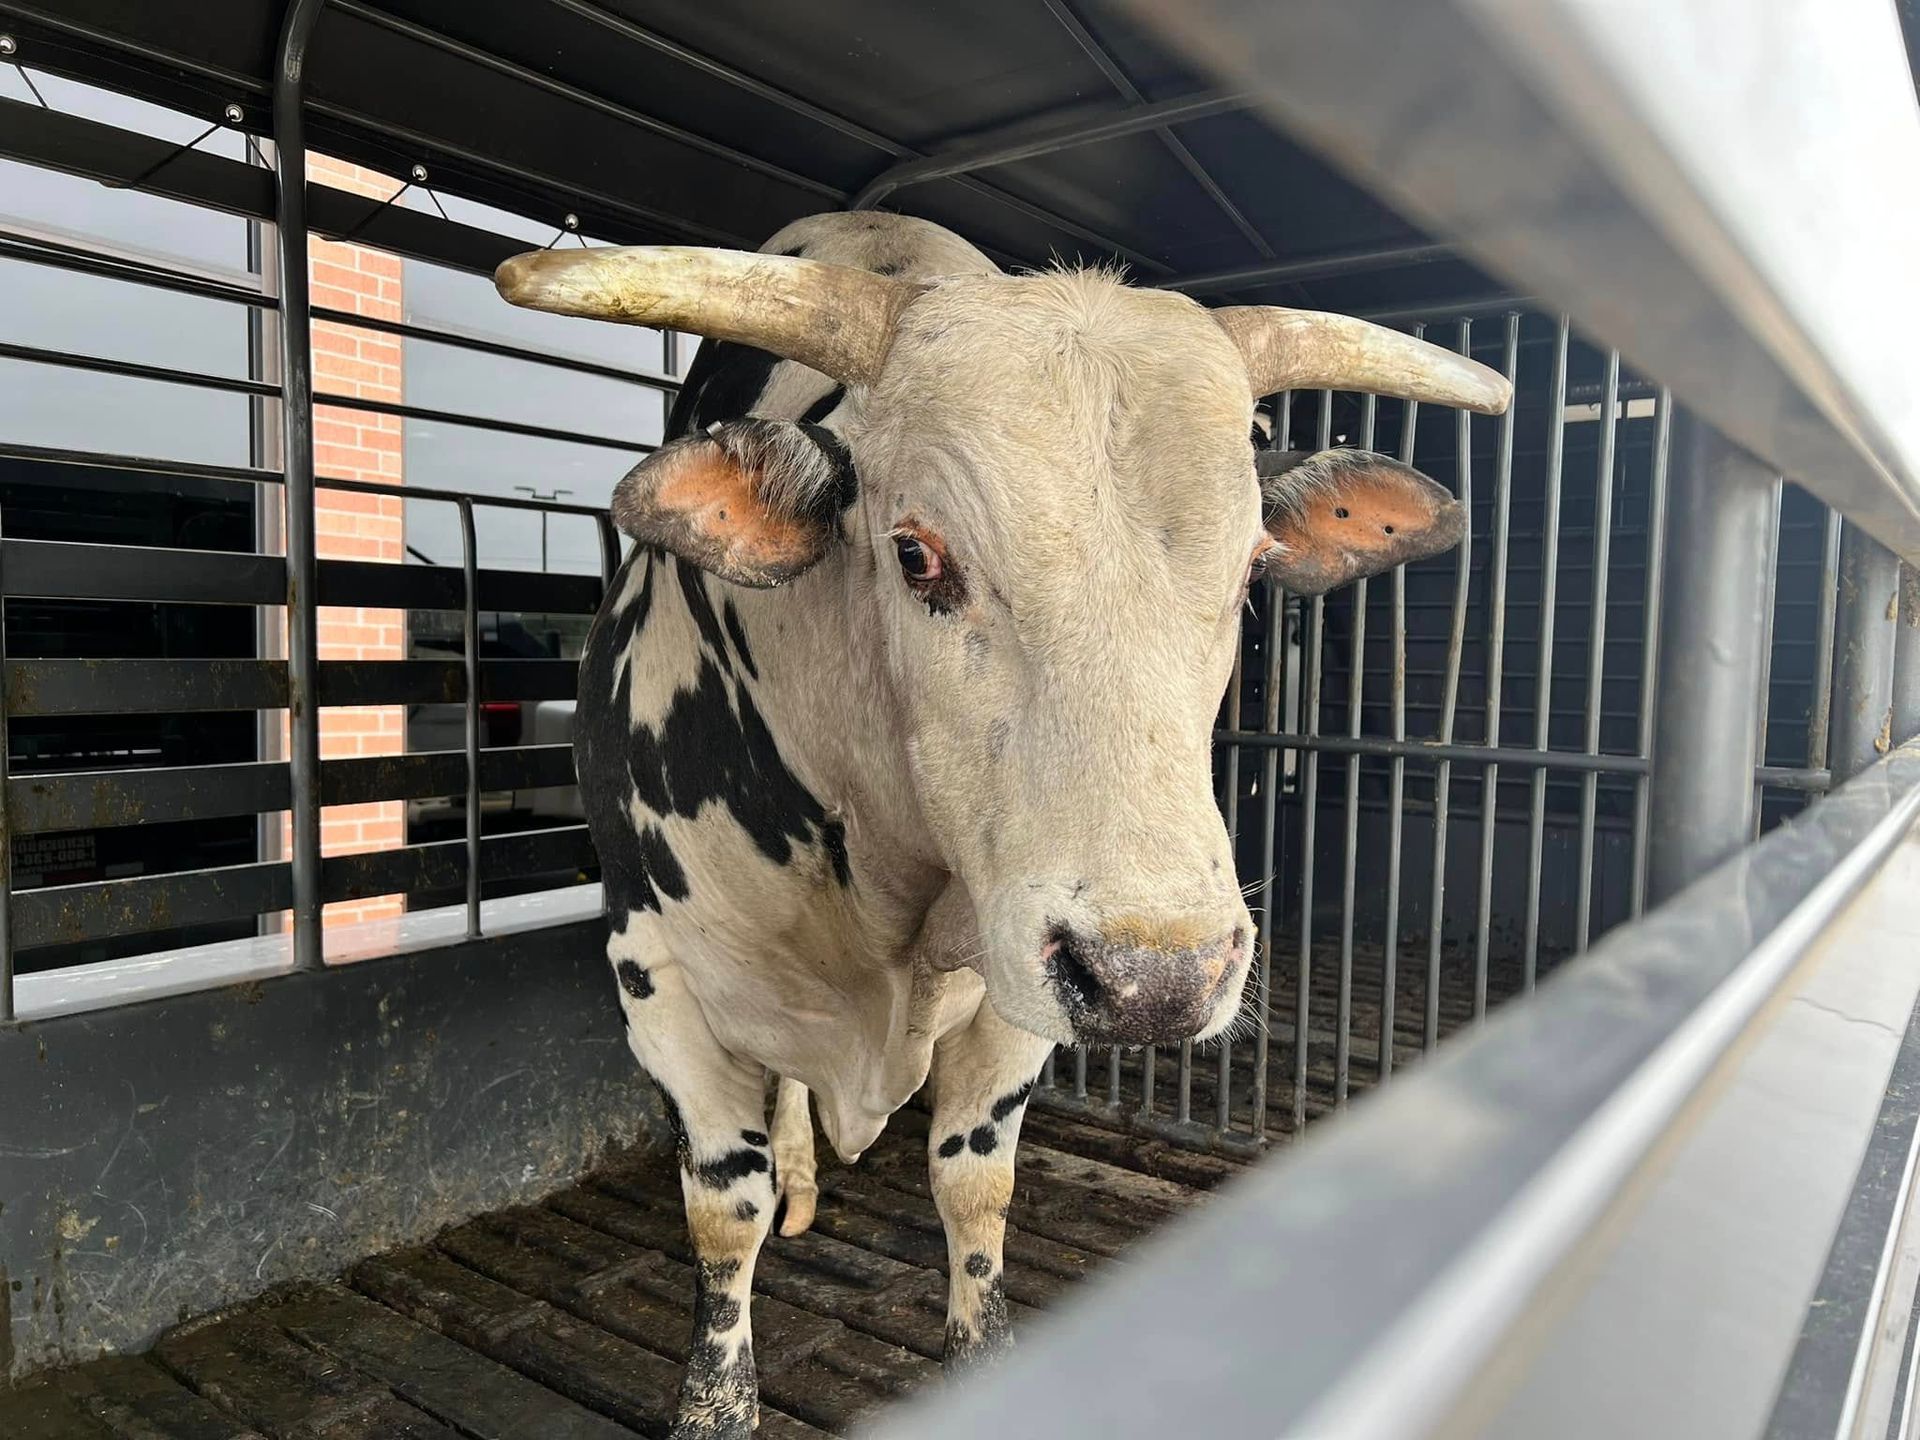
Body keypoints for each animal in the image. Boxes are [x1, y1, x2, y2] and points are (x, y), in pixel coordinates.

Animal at [494, 212, 1507, 1439]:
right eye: (915, 553)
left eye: (1250, 572)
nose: (1160, 978)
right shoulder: (659, 979)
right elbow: (722, 1214)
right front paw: (716, 1399)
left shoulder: (1017, 992)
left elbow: (974, 1189)